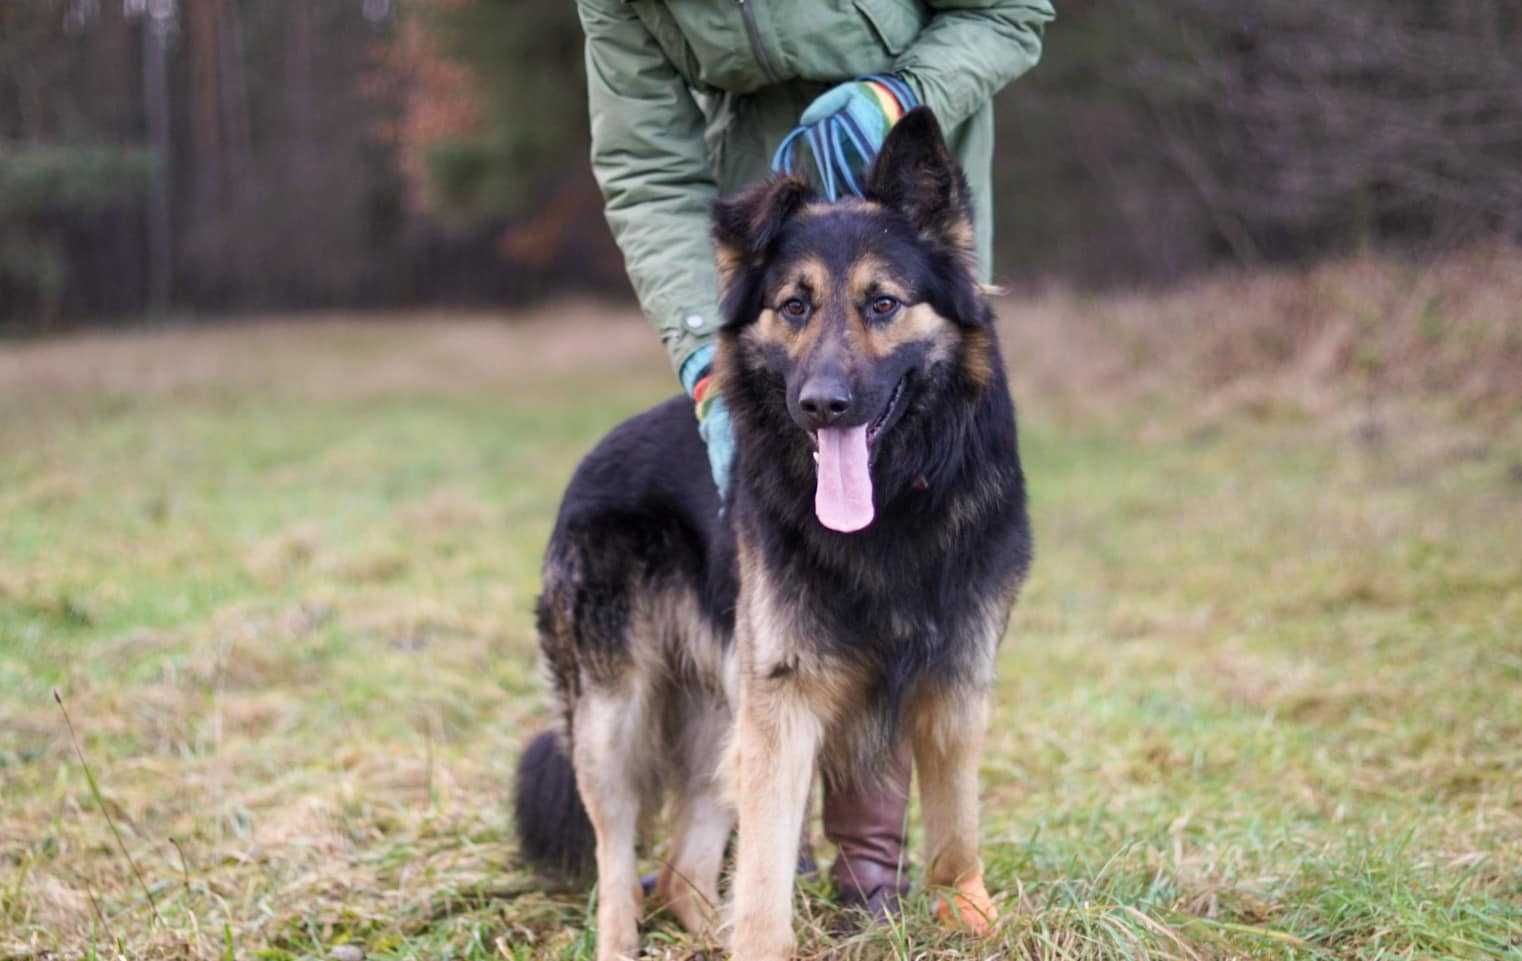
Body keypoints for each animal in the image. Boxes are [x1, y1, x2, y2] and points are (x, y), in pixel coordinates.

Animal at [514, 108, 1034, 956]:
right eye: (795, 307)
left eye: (882, 304)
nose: (822, 404)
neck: (893, 509)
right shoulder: (784, 707)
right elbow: (761, 882)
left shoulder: (955, 680)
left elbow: (956, 830)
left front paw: (969, 916)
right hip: (616, 719)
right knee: (617, 866)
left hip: (721, 714)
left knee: (684, 874)